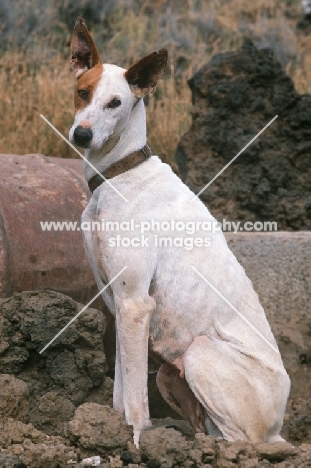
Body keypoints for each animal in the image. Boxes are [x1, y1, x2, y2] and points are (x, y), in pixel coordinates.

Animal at [69, 18, 290, 448]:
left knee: (239, 442)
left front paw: (137, 443)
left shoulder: (136, 304)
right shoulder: (119, 304)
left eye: (115, 103)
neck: (120, 173)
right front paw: (110, 431)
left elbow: (135, 401)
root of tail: (277, 429)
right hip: (171, 374)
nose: (81, 135)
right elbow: (121, 390)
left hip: (201, 352)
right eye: (82, 92)